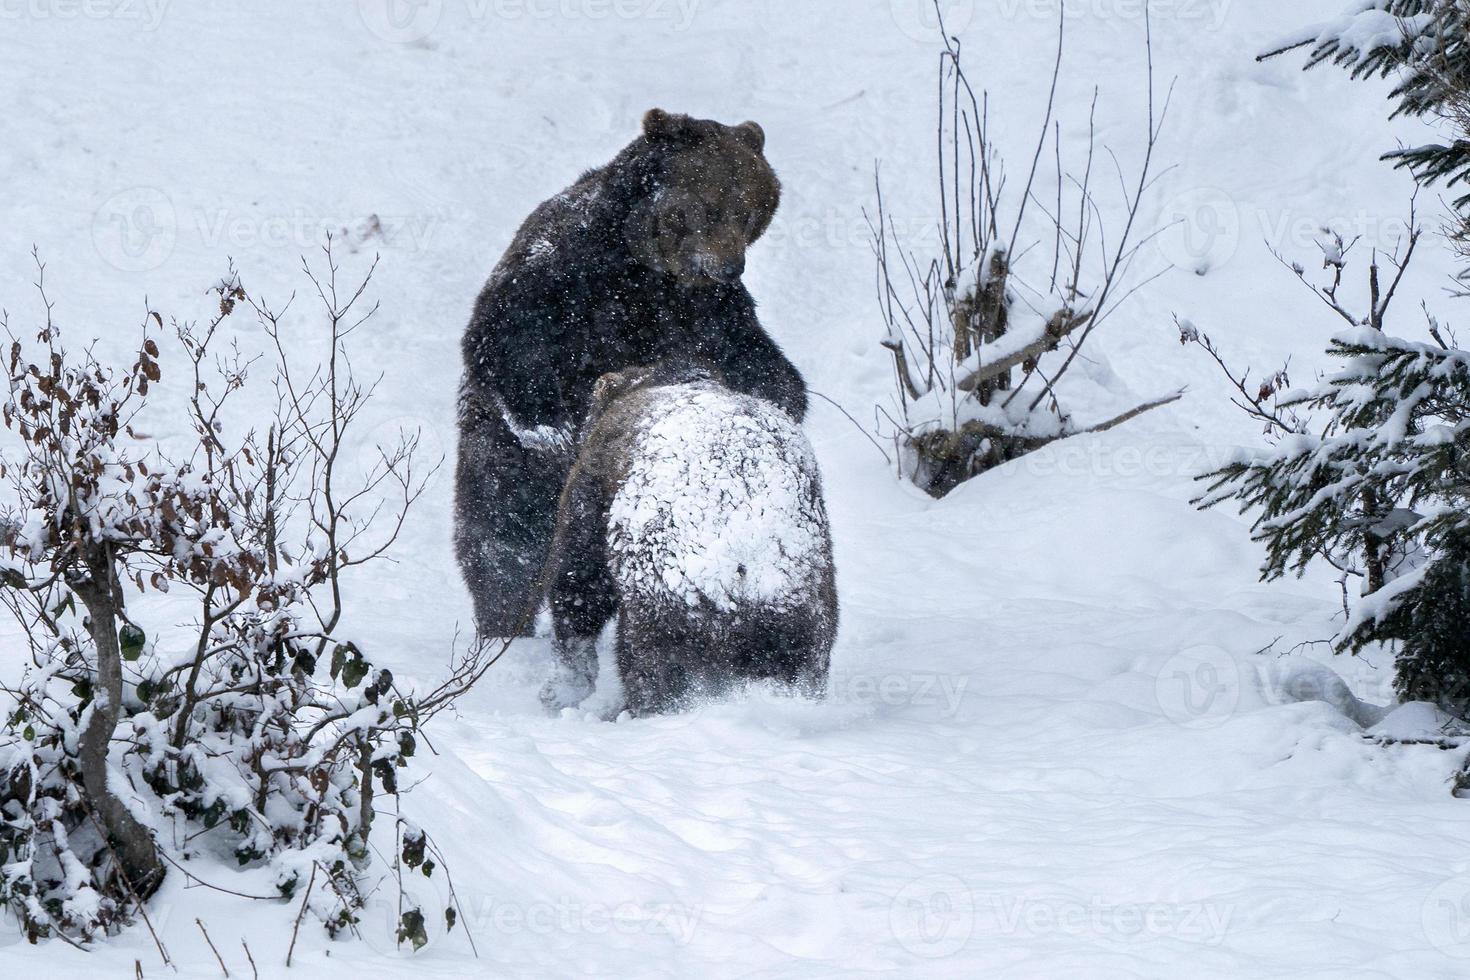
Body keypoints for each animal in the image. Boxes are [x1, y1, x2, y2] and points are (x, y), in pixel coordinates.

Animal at [455, 110, 811, 640]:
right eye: (710, 206)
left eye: (749, 210)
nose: (730, 264)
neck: (642, 264)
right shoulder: (565, 269)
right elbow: (504, 333)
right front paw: (551, 425)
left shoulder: (707, 311)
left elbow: (758, 359)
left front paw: (778, 392)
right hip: (500, 454)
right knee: (503, 538)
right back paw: (503, 624)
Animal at [543, 359, 840, 714]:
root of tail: (743, 566)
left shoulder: (592, 484)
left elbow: (577, 583)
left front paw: (564, 686)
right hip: (801, 614)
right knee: (805, 665)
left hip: (666, 602)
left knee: (649, 666)